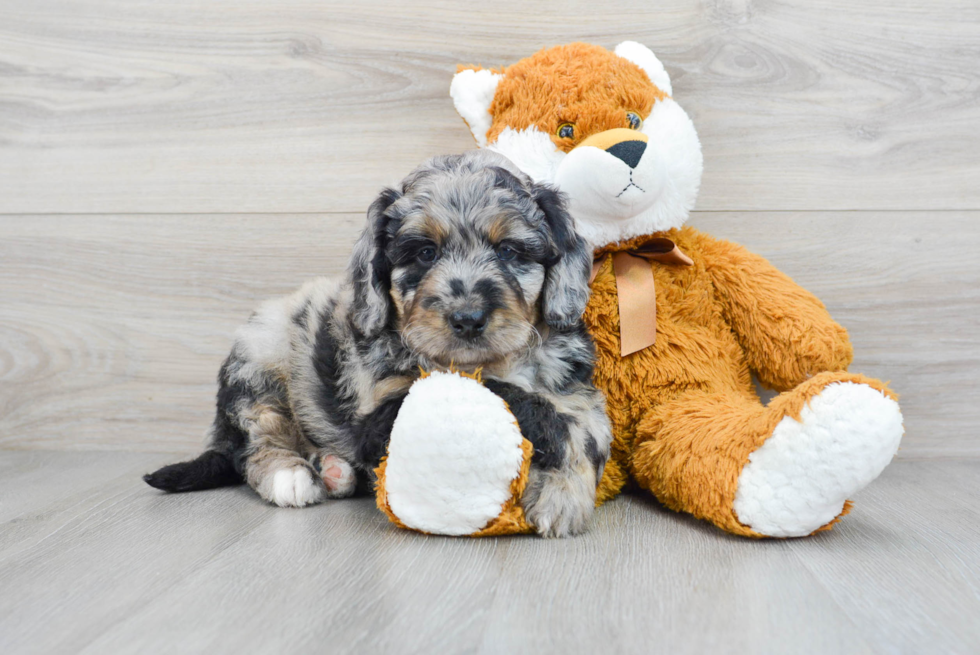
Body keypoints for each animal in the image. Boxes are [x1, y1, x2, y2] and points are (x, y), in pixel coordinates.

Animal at [145, 150, 612, 540]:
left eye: (509, 250)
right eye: (424, 253)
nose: (467, 318)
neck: (492, 361)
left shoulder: (581, 395)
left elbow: (582, 431)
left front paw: (561, 495)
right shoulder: (384, 409)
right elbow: (526, 403)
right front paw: (559, 493)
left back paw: (334, 470)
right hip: (259, 357)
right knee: (256, 440)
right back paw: (291, 476)